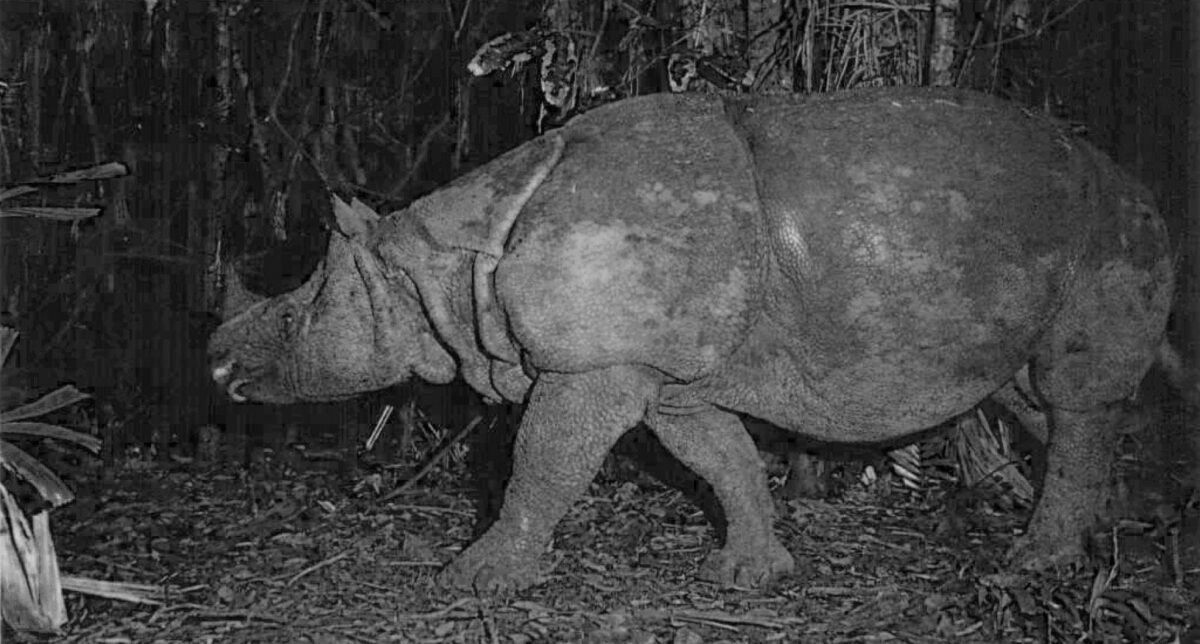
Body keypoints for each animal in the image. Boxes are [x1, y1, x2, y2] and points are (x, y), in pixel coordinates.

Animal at [208, 87, 1175, 591]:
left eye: (294, 318)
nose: (216, 367)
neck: (442, 266)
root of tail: (1136, 184)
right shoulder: (667, 373)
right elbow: (721, 456)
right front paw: (753, 572)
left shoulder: (599, 359)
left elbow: (542, 462)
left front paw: (479, 579)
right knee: (1031, 395)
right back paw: (1100, 530)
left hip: (1110, 233)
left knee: (1074, 393)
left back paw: (1031, 567)